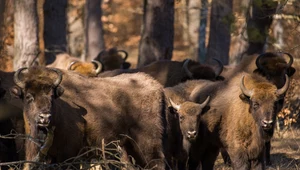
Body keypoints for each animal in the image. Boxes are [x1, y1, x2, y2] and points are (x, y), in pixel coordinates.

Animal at [11, 66, 166, 170]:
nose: (44, 117)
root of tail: (156, 86)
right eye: (29, 96)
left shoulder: (68, 154)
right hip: (130, 145)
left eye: (51, 97)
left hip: (147, 141)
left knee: (156, 161)